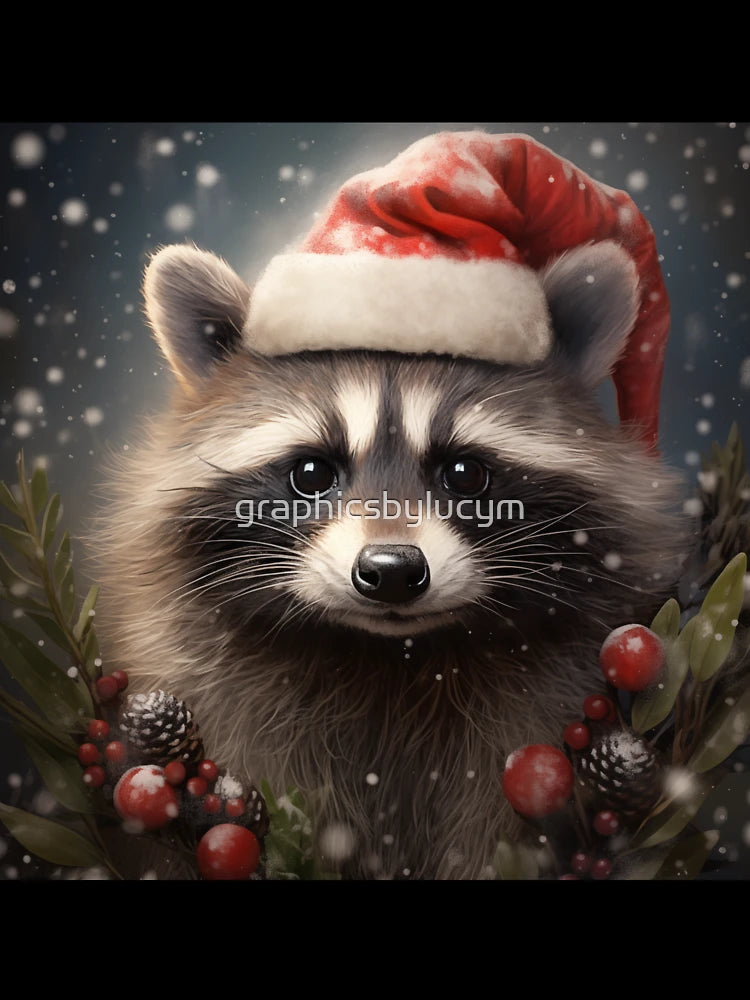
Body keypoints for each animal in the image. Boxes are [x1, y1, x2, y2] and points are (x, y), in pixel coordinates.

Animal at [94, 237, 688, 880]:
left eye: (465, 472)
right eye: (311, 472)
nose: (392, 572)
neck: (393, 655)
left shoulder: (552, 693)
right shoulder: (218, 680)